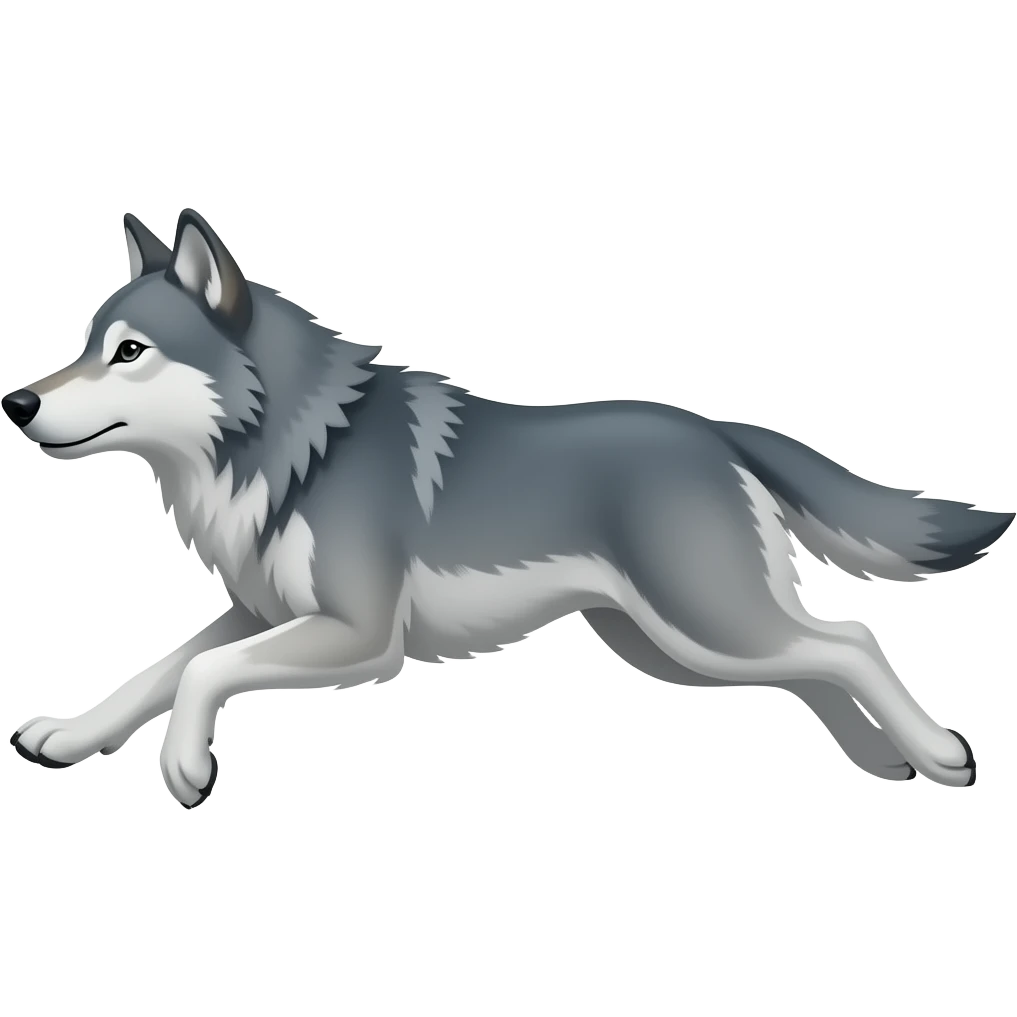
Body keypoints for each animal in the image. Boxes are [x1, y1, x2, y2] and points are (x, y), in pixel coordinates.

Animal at [3, 209, 1011, 807]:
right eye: (86, 343)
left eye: (129, 352)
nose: (16, 403)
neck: (293, 447)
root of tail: (719, 431)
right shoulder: (259, 614)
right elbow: (155, 672)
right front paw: (68, 734)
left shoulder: (356, 637)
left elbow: (201, 678)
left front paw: (185, 765)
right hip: (674, 646)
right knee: (816, 663)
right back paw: (884, 761)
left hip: (703, 627)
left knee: (851, 640)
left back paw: (941, 754)